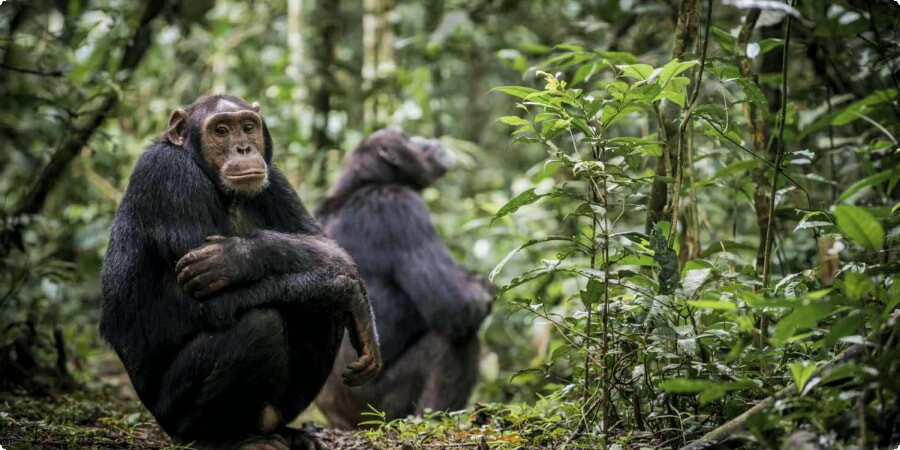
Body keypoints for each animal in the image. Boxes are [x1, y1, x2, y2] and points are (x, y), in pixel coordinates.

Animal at [100, 95, 382, 450]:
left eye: (248, 127)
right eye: (221, 130)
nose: (243, 147)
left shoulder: (275, 178)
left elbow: (323, 244)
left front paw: (236, 257)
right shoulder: (170, 177)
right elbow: (210, 303)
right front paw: (348, 292)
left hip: (274, 410)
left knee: (321, 313)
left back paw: (289, 433)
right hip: (170, 413)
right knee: (260, 324)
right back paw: (223, 438)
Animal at [312, 127, 492, 428]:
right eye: (406, 137)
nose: (425, 140)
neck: (359, 185)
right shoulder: (401, 207)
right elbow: (455, 306)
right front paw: (482, 286)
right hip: (378, 409)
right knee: (451, 342)